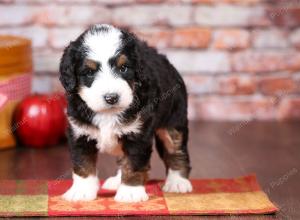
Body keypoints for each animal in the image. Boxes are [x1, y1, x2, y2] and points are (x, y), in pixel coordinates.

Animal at [59, 24, 192, 203]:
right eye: (89, 72)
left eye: (123, 68)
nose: (111, 97)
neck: (108, 113)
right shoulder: (80, 132)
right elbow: (82, 163)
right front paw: (81, 191)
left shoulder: (138, 134)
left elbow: (134, 163)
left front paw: (130, 192)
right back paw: (116, 181)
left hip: (173, 121)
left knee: (176, 150)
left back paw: (178, 181)